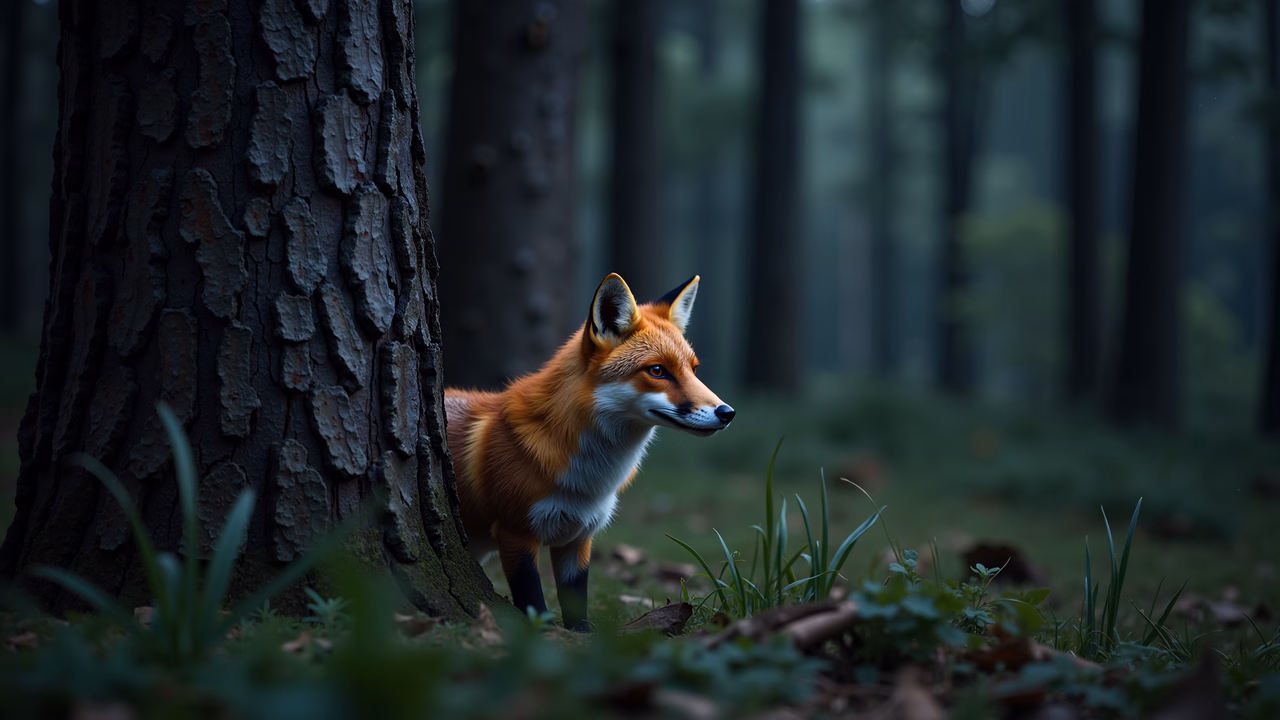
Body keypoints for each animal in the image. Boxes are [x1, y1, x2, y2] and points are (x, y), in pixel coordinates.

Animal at [443, 273, 734, 630]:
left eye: (693, 370)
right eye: (657, 371)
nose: (727, 413)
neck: (590, 477)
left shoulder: (578, 539)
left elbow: (576, 609)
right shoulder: (515, 534)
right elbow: (535, 604)